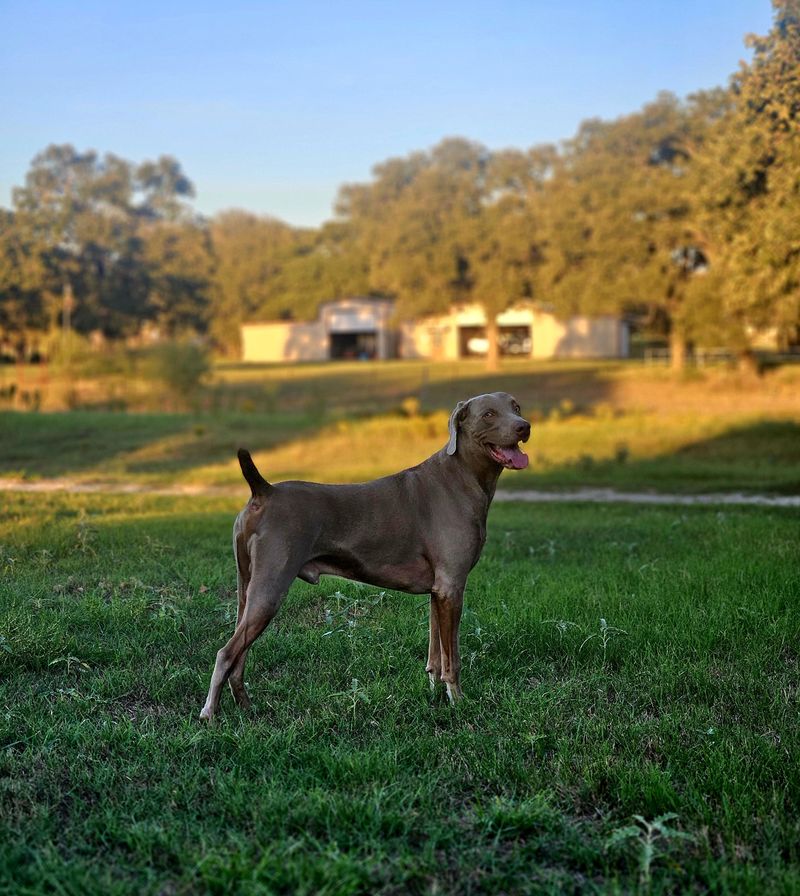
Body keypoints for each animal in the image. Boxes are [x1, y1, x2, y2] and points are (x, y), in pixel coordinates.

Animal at [200, 394, 532, 720]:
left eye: (516, 406)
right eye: (488, 414)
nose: (524, 426)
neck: (461, 476)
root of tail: (264, 491)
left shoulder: (439, 591)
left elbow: (435, 655)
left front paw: (435, 695)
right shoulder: (452, 586)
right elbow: (453, 658)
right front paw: (459, 702)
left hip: (247, 587)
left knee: (239, 654)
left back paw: (245, 705)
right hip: (270, 587)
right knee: (226, 653)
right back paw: (210, 715)